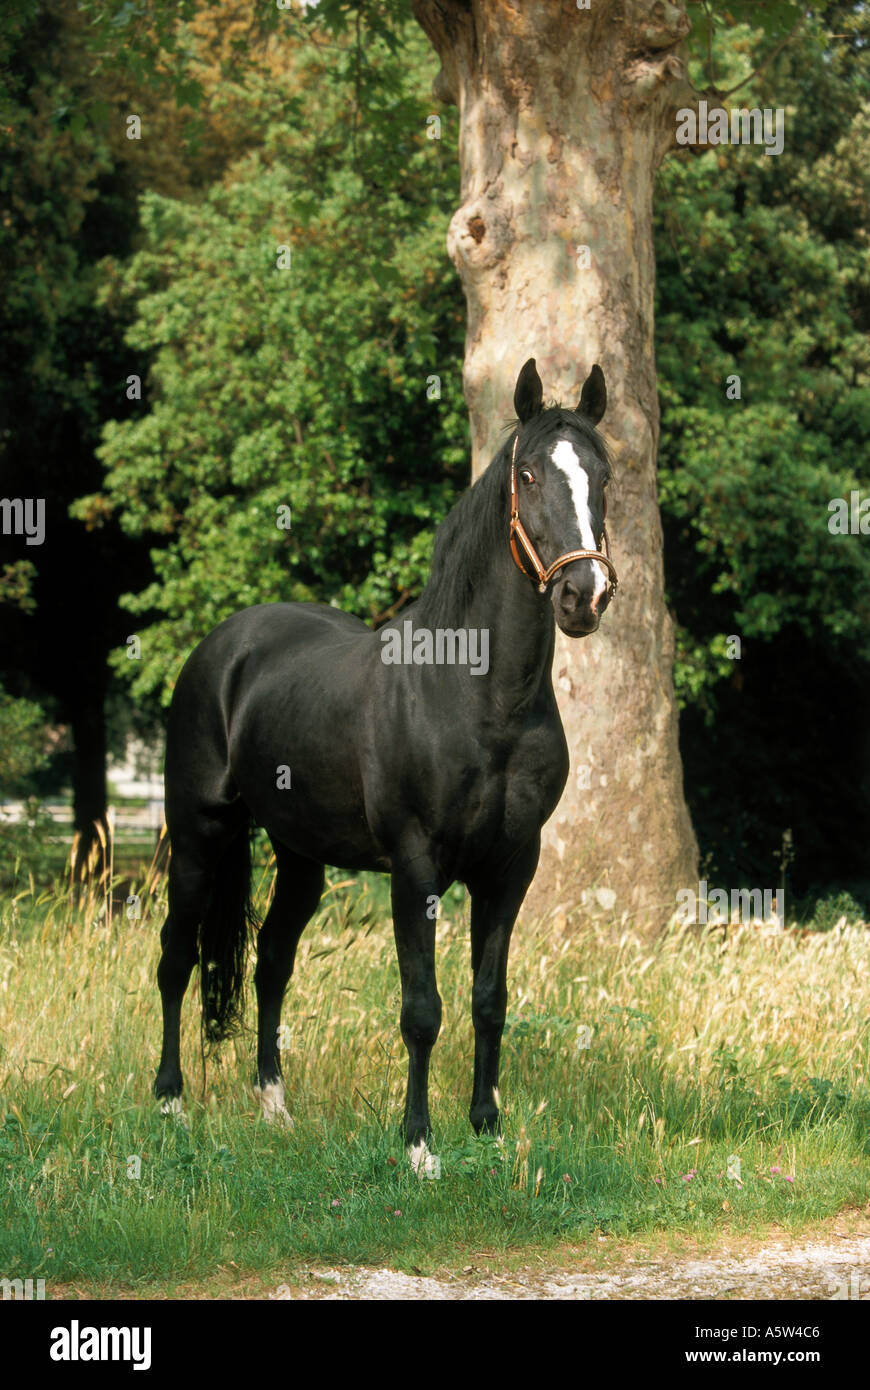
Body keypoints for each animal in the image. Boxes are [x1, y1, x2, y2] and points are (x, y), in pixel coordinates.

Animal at [154, 357, 618, 1169]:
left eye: (605, 475)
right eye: (529, 474)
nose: (582, 595)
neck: (477, 696)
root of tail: (225, 646)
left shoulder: (510, 867)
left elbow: (489, 1000)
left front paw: (487, 1129)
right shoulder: (416, 866)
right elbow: (422, 1009)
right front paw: (419, 1147)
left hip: (300, 856)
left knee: (272, 959)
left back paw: (274, 1109)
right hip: (199, 836)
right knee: (176, 956)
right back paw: (170, 1103)